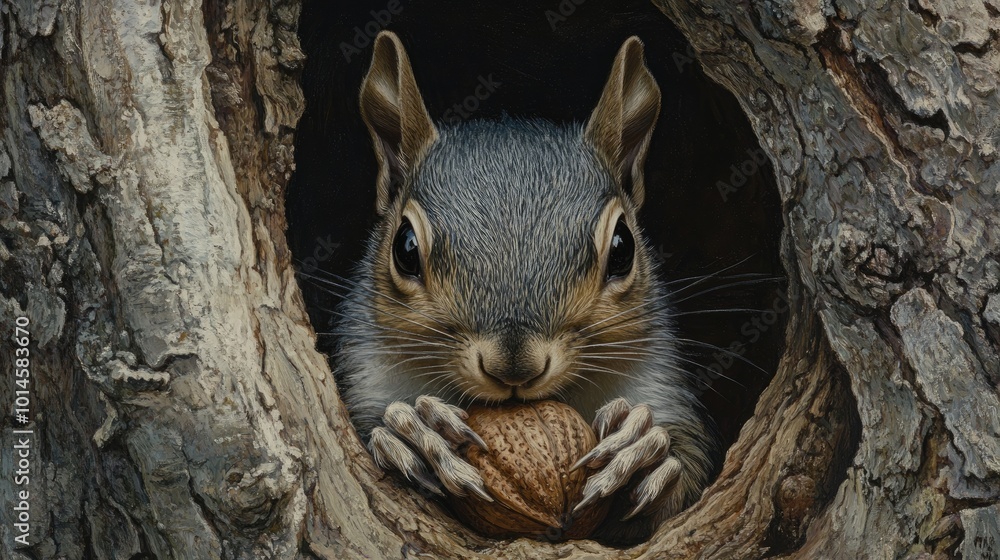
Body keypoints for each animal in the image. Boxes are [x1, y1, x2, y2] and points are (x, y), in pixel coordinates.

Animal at [333, 30, 719, 542]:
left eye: (622, 248)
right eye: (405, 248)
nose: (514, 368)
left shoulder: (657, 379)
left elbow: (684, 486)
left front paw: (644, 449)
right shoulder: (367, 372)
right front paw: (413, 430)